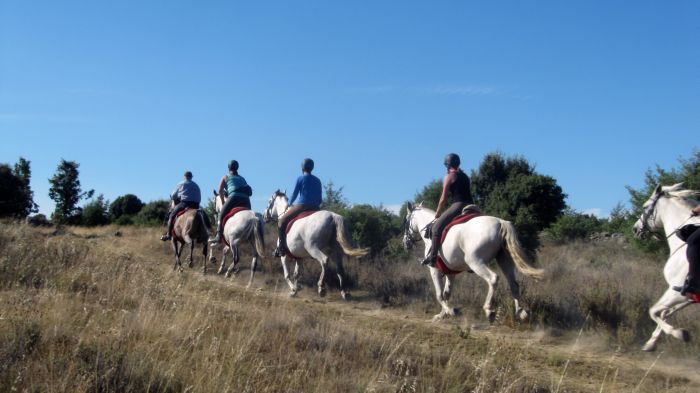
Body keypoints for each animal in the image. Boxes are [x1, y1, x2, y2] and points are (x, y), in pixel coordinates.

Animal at [402, 202, 544, 322]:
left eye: (406, 221)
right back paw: (521, 312)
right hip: (504, 260)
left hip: (476, 262)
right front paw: (443, 314)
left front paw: (450, 311)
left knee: (493, 279)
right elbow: (446, 293)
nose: (405, 243)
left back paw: (489, 310)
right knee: (514, 284)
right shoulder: (450, 273)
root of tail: (500, 222)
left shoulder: (434, 270)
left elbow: (439, 295)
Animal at [628, 182, 700, 350]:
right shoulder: (687, 297)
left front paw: (680, 334)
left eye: (644, 206)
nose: (635, 229)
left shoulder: (677, 291)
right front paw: (651, 343)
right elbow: (665, 312)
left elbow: (653, 311)